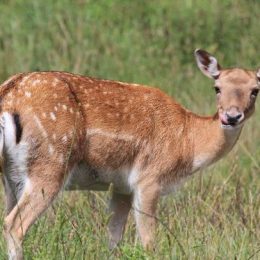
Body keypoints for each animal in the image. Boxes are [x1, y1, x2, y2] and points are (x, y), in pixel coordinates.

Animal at [0, 49, 258, 260]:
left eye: (255, 90)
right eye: (217, 87)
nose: (231, 117)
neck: (188, 144)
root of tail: (9, 97)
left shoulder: (121, 186)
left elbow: (112, 241)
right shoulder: (149, 179)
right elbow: (148, 243)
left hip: (11, 175)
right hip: (50, 164)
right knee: (13, 224)